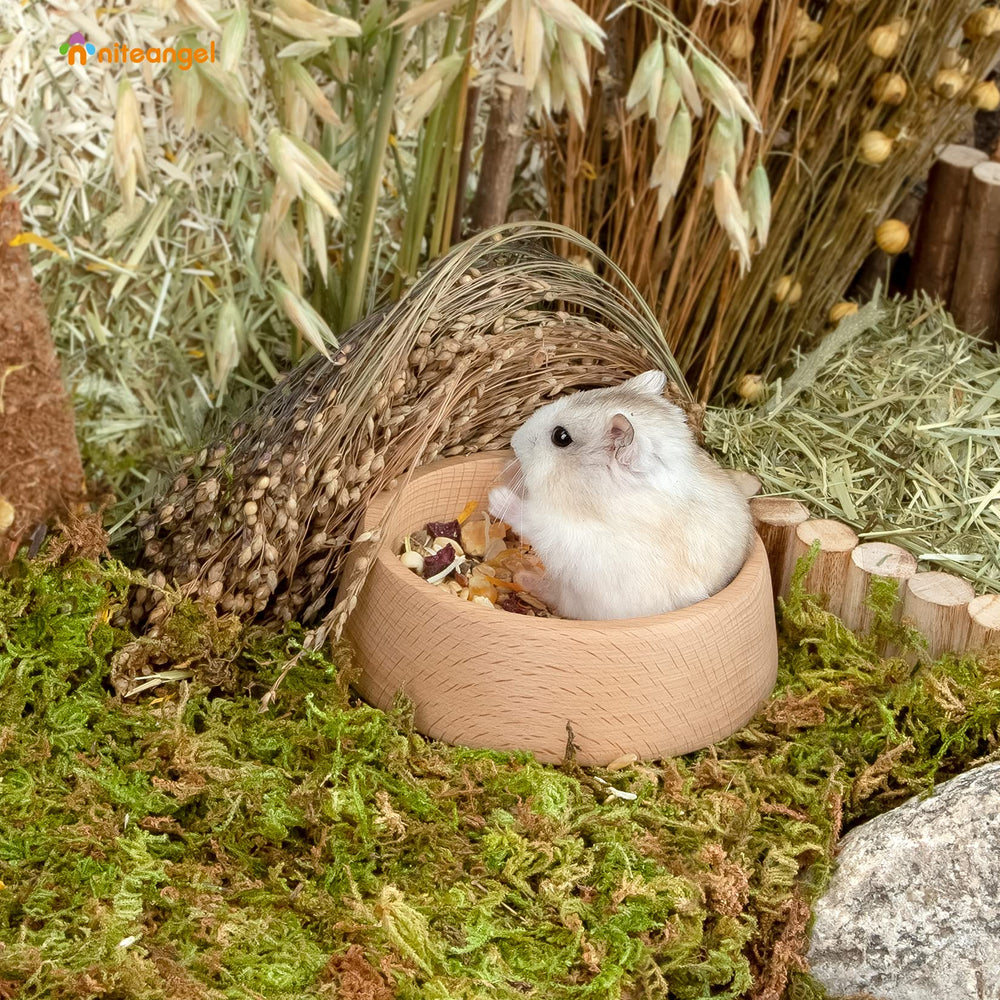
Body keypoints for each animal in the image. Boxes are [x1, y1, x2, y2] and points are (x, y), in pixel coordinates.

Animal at [487, 370, 754, 621]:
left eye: (561, 437)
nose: (513, 441)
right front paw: (505, 469)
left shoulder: (579, 541)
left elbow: (536, 521)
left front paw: (496, 496)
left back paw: (524, 575)